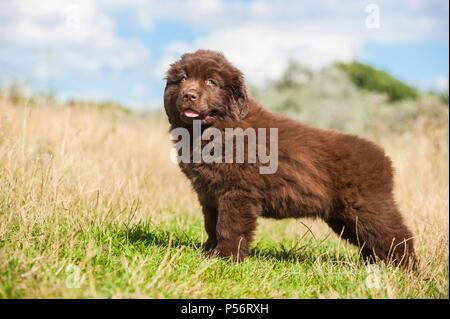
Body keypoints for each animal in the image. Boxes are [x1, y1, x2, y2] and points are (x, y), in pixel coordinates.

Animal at [163, 48, 416, 266]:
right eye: (182, 78)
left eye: (211, 82)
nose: (189, 95)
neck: (214, 127)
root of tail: (384, 158)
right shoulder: (208, 192)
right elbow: (211, 223)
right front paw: (207, 251)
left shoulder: (237, 191)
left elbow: (229, 226)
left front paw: (225, 257)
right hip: (343, 217)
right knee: (370, 242)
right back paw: (372, 266)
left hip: (368, 208)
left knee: (396, 236)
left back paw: (406, 271)